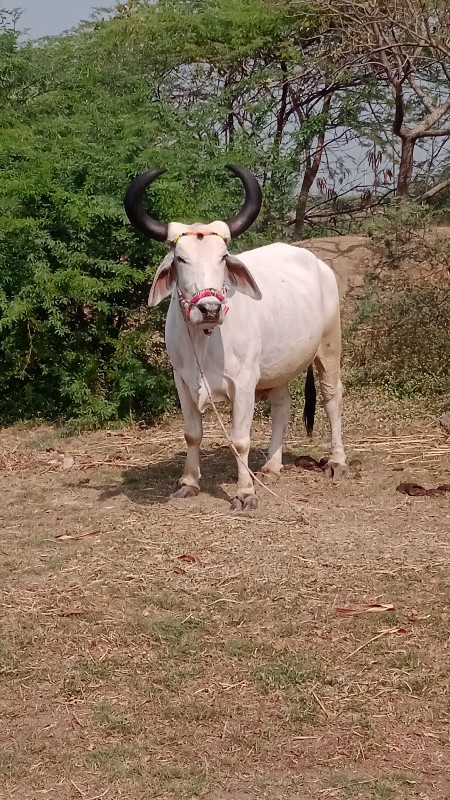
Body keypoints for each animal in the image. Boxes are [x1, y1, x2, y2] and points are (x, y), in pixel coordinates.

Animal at [125, 165, 346, 510]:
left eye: (223, 256)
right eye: (180, 259)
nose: (210, 308)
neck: (205, 340)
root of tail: (319, 264)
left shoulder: (243, 382)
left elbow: (240, 439)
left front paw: (245, 493)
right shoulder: (182, 381)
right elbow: (192, 434)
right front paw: (188, 483)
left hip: (328, 346)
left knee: (332, 398)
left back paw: (337, 462)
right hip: (278, 367)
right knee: (283, 406)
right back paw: (271, 466)